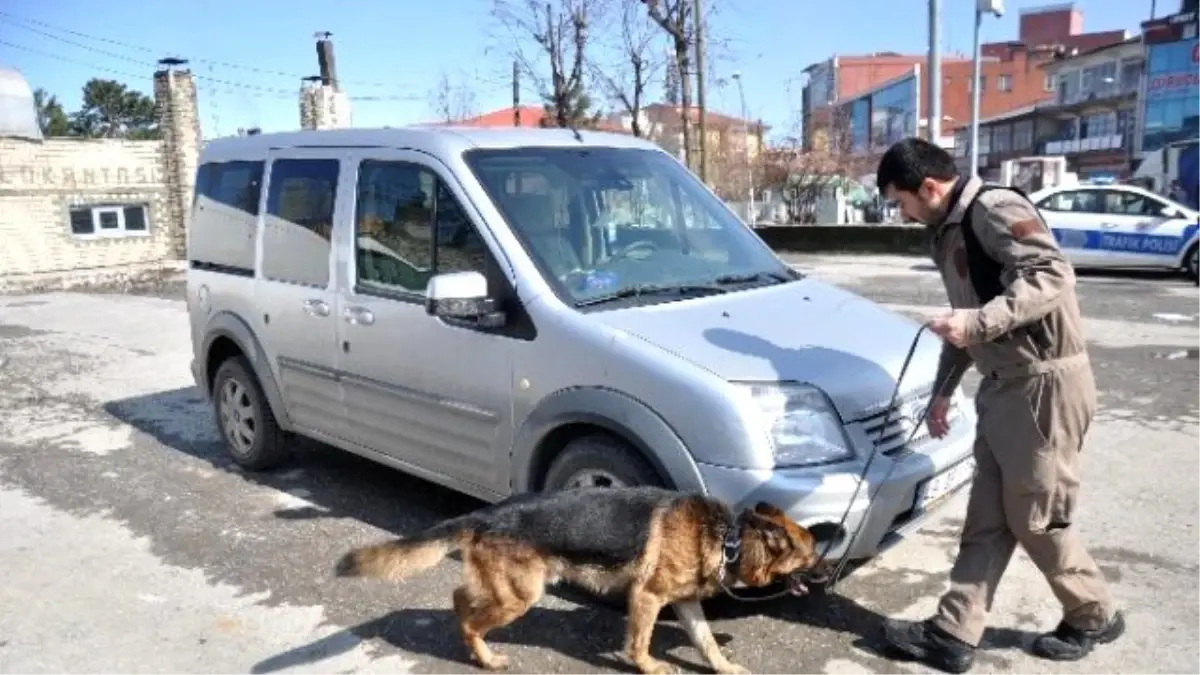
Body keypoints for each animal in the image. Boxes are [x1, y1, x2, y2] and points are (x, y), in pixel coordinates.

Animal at [333, 485, 830, 667]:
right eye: (812, 553)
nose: (830, 572)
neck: (728, 537)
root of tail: (486, 514)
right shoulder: (647, 598)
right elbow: (640, 642)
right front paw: (647, 667)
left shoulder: (685, 602)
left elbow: (706, 642)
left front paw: (724, 668)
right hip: (520, 596)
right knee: (471, 618)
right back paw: (486, 657)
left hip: (505, 589)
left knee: (459, 598)